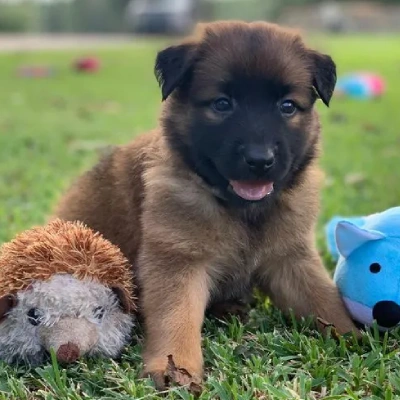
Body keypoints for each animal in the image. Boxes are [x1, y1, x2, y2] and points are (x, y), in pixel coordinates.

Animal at [54, 20, 358, 390]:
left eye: (287, 106)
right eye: (222, 104)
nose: (260, 160)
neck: (240, 209)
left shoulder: (291, 258)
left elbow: (323, 299)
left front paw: (359, 336)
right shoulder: (176, 259)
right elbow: (176, 317)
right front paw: (174, 367)